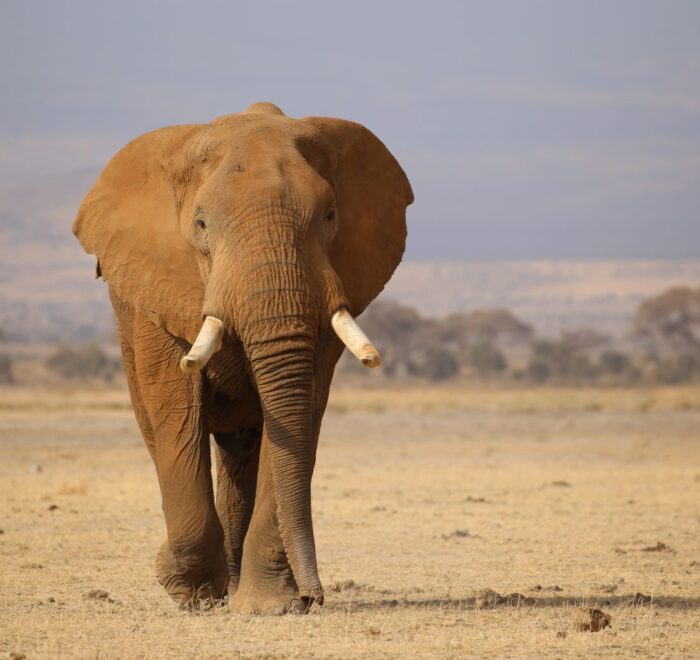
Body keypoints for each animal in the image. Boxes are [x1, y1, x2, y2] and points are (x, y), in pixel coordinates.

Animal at [72, 102, 413, 614]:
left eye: (330, 216)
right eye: (200, 225)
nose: (316, 596)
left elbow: (299, 412)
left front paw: (269, 605)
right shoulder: (158, 287)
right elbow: (178, 408)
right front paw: (190, 593)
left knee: (241, 450)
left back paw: (236, 586)